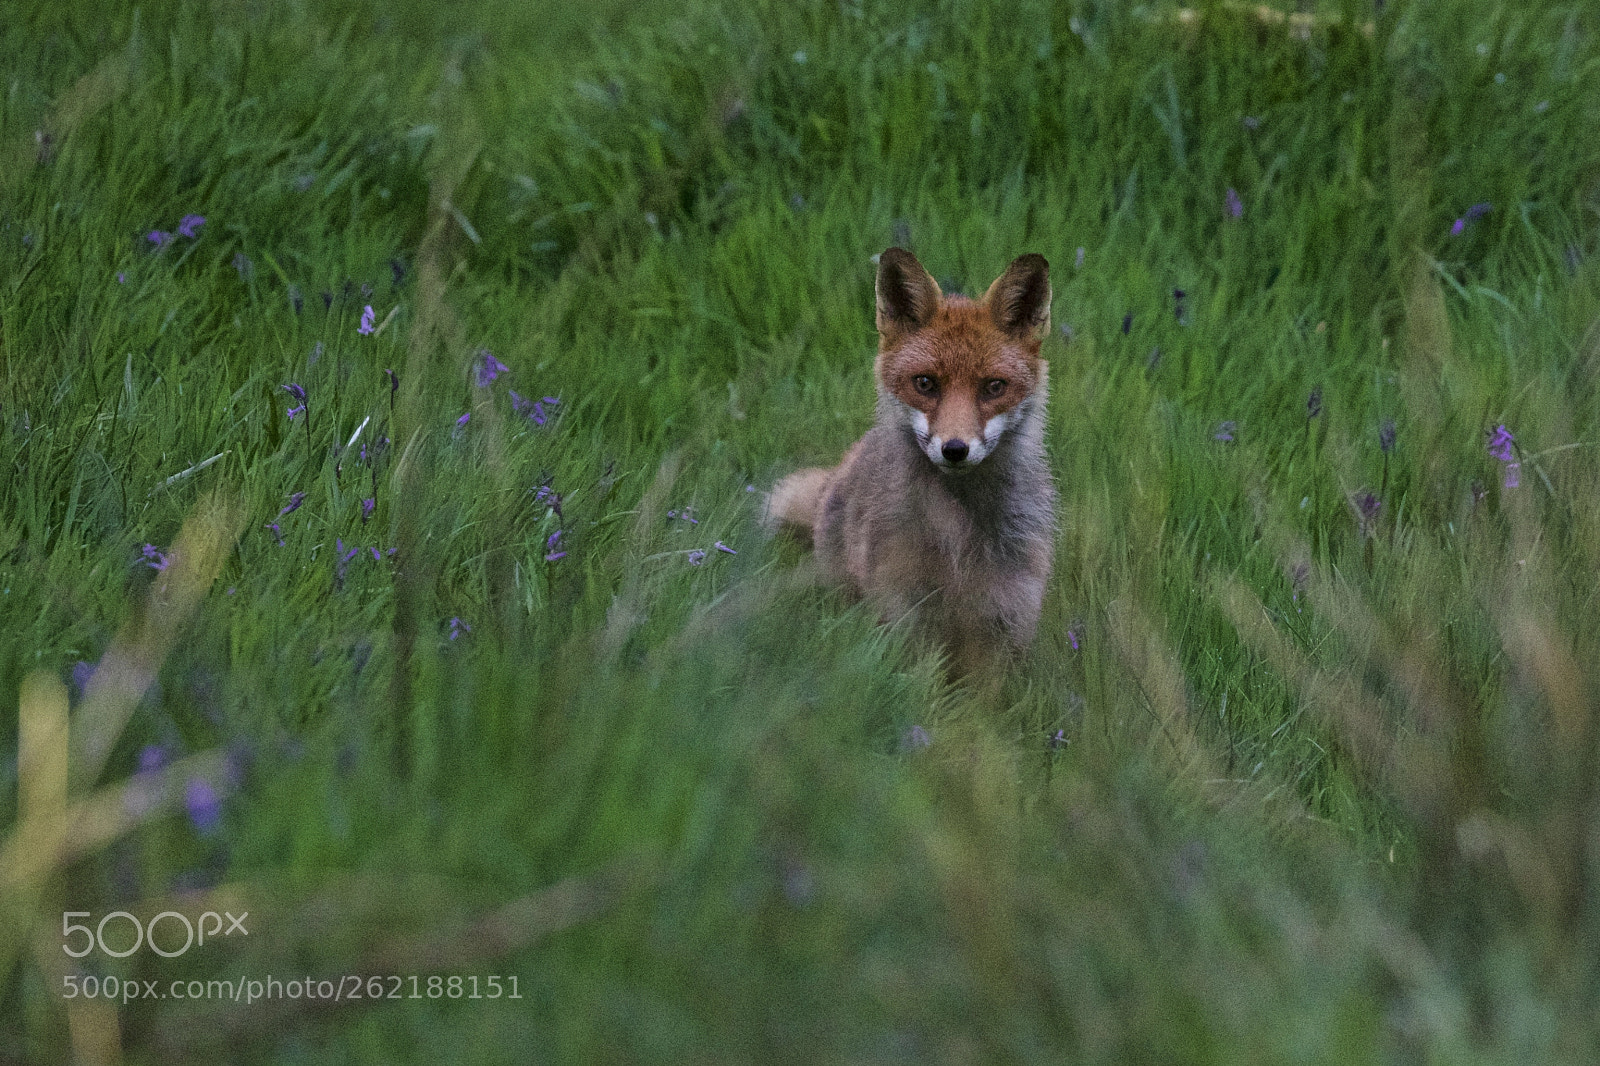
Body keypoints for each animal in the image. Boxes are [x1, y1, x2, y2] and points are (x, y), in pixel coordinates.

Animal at [767, 247, 1057, 676]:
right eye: (925, 384)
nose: (955, 449)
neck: (959, 543)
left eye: (993, 387)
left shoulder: (1002, 621)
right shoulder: (907, 616)